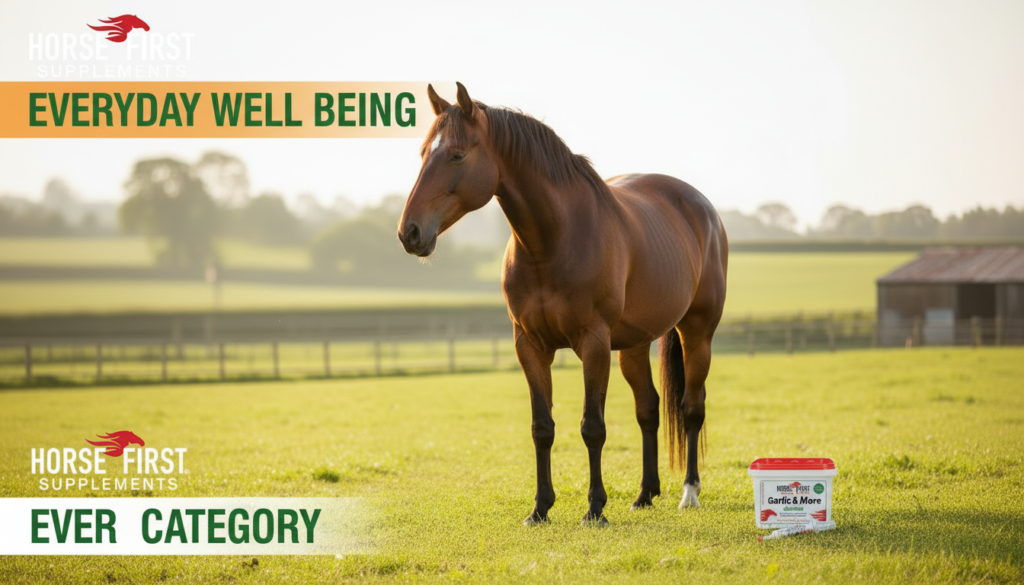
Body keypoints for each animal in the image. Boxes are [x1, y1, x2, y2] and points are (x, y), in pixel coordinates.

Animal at [398, 83, 728, 525]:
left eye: (457, 154)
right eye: (423, 153)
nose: (410, 232)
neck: (553, 241)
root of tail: (701, 206)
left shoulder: (593, 343)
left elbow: (593, 427)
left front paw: (595, 508)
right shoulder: (530, 346)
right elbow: (542, 427)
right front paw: (540, 508)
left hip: (697, 334)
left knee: (691, 408)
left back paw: (689, 492)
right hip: (635, 346)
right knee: (649, 409)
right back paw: (644, 494)